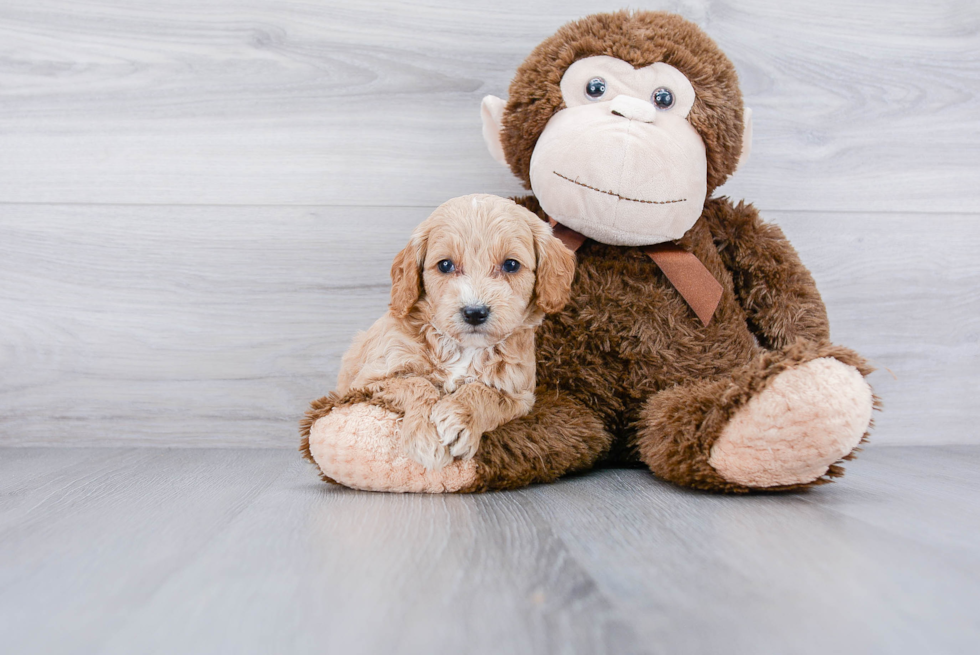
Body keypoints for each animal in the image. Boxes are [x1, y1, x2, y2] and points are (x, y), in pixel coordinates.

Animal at [334, 192, 576, 468]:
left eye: (511, 265)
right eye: (445, 265)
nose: (474, 312)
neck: (463, 348)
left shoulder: (519, 394)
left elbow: (484, 392)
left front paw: (459, 419)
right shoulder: (368, 381)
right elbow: (417, 383)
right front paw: (425, 433)